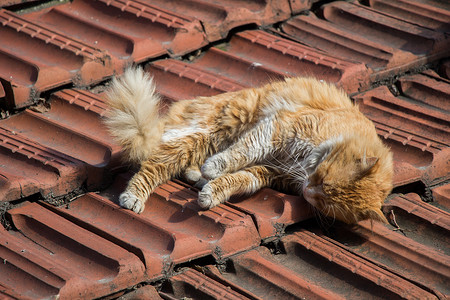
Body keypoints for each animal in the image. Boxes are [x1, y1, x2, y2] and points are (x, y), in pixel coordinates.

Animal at [103, 67, 392, 224]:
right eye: (322, 180)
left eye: (322, 202)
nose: (307, 191)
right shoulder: (278, 129)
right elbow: (241, 153)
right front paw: (215, 169)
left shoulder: (269, 171)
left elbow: (236, 180)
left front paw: (211, 192)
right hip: (211, 132)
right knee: (152, 165)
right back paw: (134, 197)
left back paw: (197, 175)